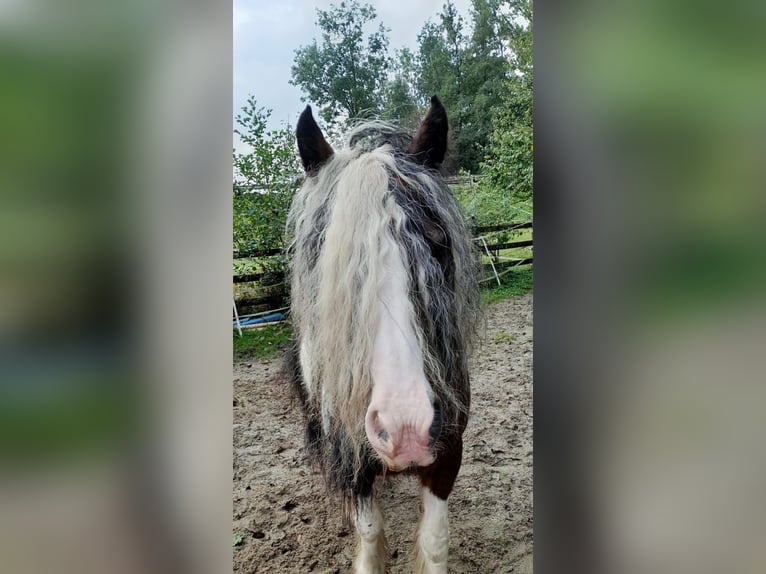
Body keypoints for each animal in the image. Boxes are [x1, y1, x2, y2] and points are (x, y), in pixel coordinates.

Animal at [284, 98, 484, 574]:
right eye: (330, 259)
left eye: (438, 244)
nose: (406, 427)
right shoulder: (351, 461)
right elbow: (370, 532)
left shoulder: (448, 453)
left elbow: (434, 541)